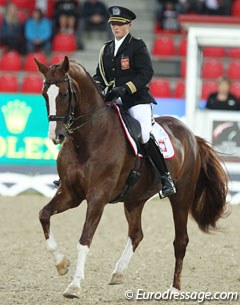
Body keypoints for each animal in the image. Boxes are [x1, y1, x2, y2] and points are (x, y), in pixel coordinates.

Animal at [34, 56, 228, 296]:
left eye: (63, 94)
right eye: (44, 94)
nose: (56, 136)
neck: (88, 138)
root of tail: (191, 135)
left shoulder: (97, 197)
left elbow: (84, 240)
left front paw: (75, 284)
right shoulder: (70, 193)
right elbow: (44, 215)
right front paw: (61, 264)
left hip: (181, 197)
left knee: (180, 241)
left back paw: (174, 288)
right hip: (135, 199)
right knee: (137, 233)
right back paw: (118, 272)